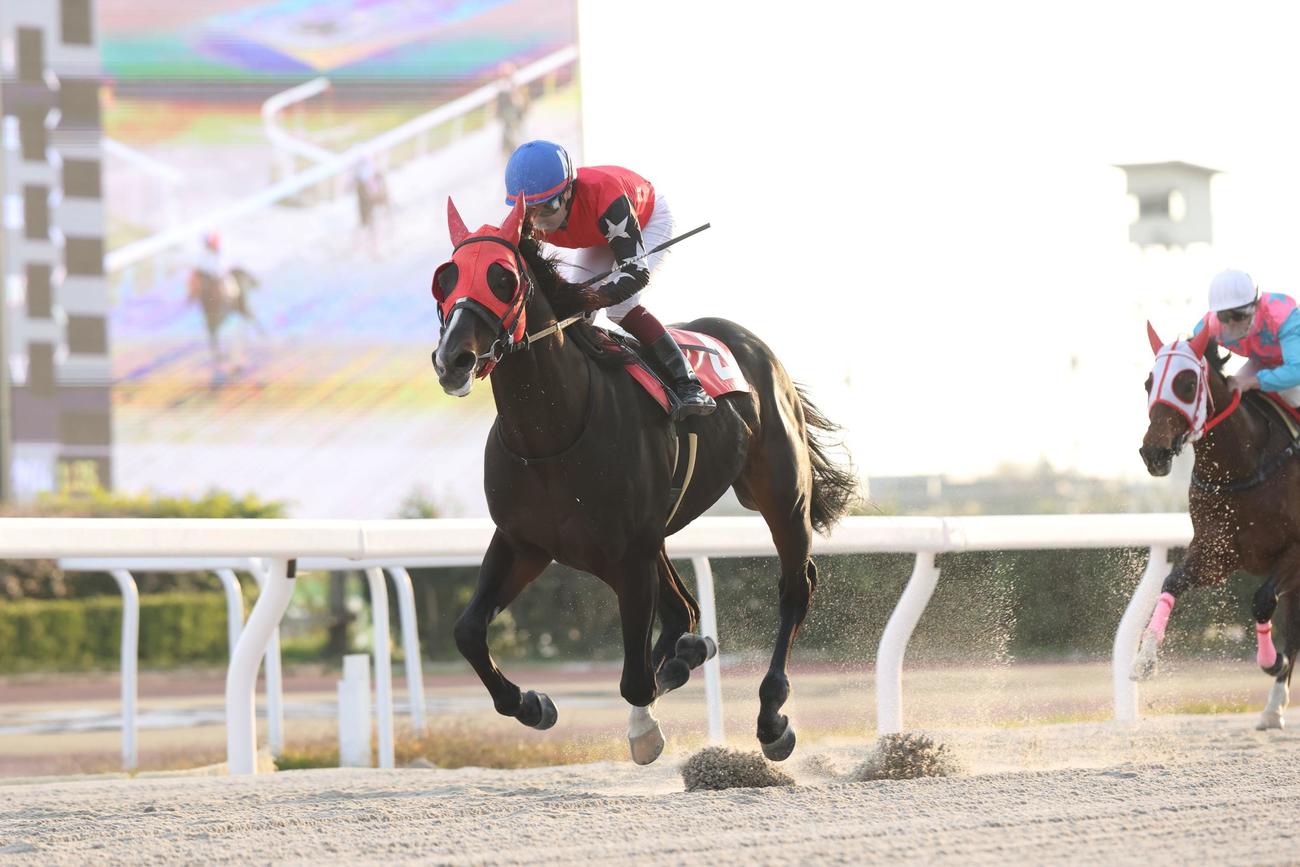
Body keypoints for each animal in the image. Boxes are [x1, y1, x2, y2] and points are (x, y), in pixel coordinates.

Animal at [429, 195, 857, 763]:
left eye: (503, 277)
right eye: (446, 277)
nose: (452, 359)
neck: (553, 433)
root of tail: (753, 345)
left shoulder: (629, 556)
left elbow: (634, 677)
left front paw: (644, 730)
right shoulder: (523, 542)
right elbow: (467, 631)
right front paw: (532, 704)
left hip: (782, 497)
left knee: (793, 587)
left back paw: (770, 717)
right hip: (655, 533)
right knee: (685, 613)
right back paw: (685, 656)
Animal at [1135, 322, 1300, 729]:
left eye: (1187, 383)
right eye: (1148, 382)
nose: (1153, 453)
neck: (1243, 466)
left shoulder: (1295, 551)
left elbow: (1262, 600)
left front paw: (1271, 660)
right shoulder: (1218, 551)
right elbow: (1171, 583)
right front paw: (1144, 659)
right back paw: (1273, 708)